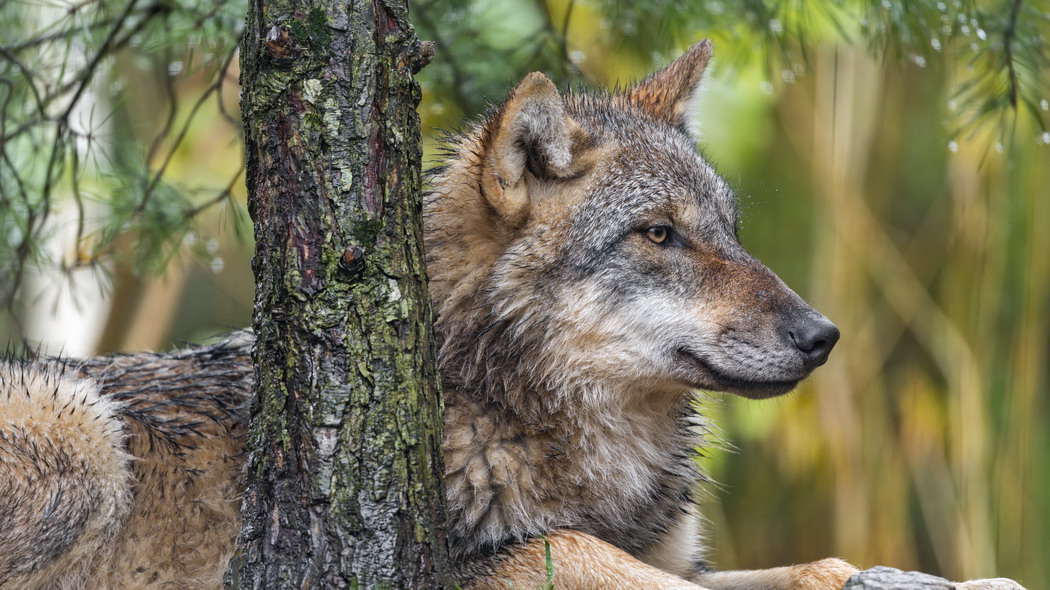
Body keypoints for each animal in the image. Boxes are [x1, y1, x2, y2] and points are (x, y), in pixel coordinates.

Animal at [0, 39, 1020, 583]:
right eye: (658, 234)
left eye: (728, 233)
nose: (823, 336)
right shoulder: (454, 567)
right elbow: (579, 550)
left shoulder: (679, 556)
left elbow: (805, 567)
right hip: (81, 433)